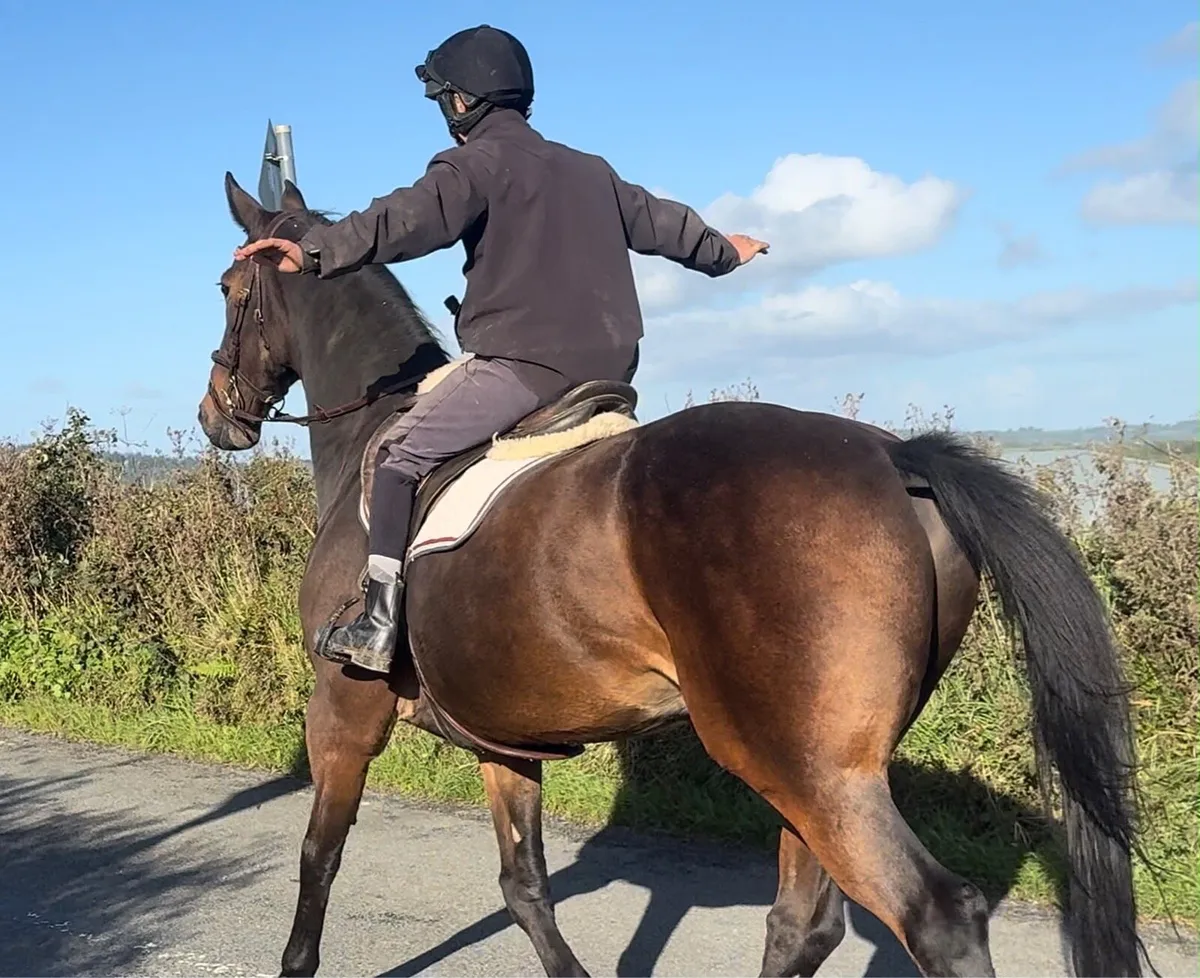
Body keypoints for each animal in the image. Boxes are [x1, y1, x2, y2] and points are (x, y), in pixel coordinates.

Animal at [197, 173, 1144, 978]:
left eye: (229, 289)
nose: (217, 417)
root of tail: (891, 456)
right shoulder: (504, 738)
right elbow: (525, 886)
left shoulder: (342, 711)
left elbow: (319, 856)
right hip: (817, 768)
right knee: (803, 923)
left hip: (813, 772)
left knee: (936, 918)